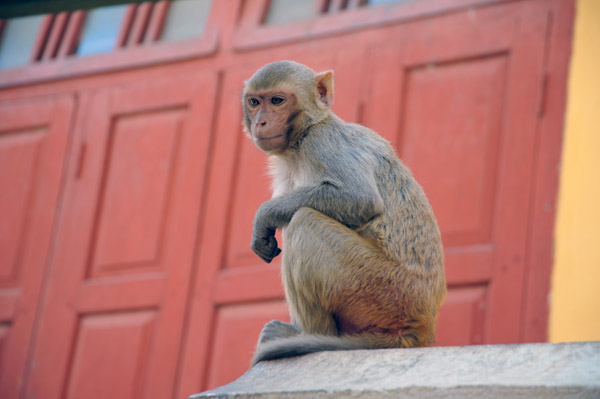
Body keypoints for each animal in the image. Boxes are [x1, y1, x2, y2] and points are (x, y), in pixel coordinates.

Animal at [244, 60, 446, 366]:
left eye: (277, 101)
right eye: (254, 102)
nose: (260, 122)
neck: (302, 137)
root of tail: (420, 327)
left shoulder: (322, 142)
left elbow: (359, 197)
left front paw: (264, 217)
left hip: (381, 289)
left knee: (303, 221)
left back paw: (309, 334)